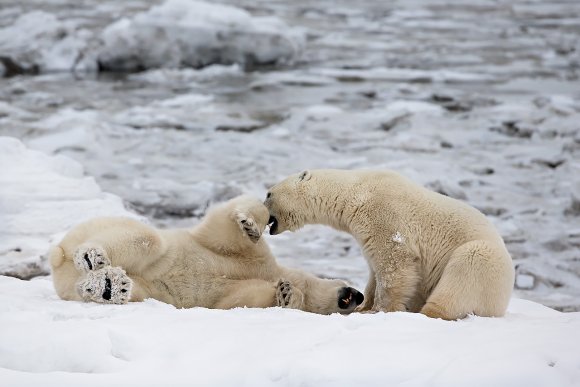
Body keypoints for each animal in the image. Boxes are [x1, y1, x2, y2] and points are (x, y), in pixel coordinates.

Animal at [49, 194, 362, 316]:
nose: (358, 296)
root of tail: (59, 259)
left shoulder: (245, 286)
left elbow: (239, 300)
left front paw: (286, 294)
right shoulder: (257, 258)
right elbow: (223, 232)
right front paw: (250, 223)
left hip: (145, 289)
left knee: (136, 288)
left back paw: (107, 286)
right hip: (98, 228)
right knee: (146, 239)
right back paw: (92, 258)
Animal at [266, 171, 516, 322]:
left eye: (269, 193)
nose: (263, 201)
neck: (355, 192)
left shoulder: (385, 216)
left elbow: (394, 265)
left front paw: (377, 311)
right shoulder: (365, 232)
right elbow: (374, 270)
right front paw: (363, 306)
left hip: (485, 262)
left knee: (465, 270)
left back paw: (427, 313)